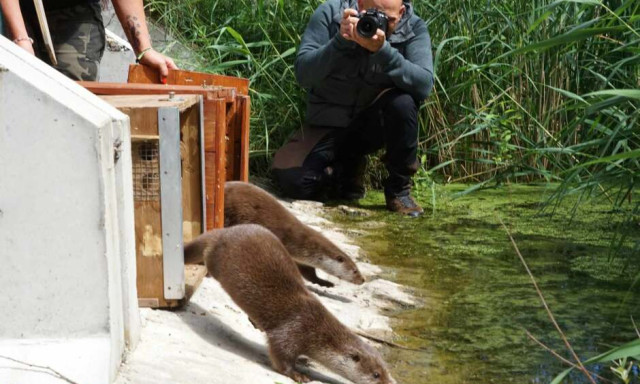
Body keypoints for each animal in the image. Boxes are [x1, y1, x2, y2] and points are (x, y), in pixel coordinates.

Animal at [185, 225, 396, 384]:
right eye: (376, 374)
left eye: (387, 372)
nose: (390, 383)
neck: (317, 330)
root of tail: (223, 232)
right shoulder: (294, 330)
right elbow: (280, 353)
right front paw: (298, 374)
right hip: (217, 258)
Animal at [221, 182, 362, 286]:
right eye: (355, 271)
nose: (363, 280)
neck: (302, 243)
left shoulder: (301, 259)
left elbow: (310, 274)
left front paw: (324, 283)